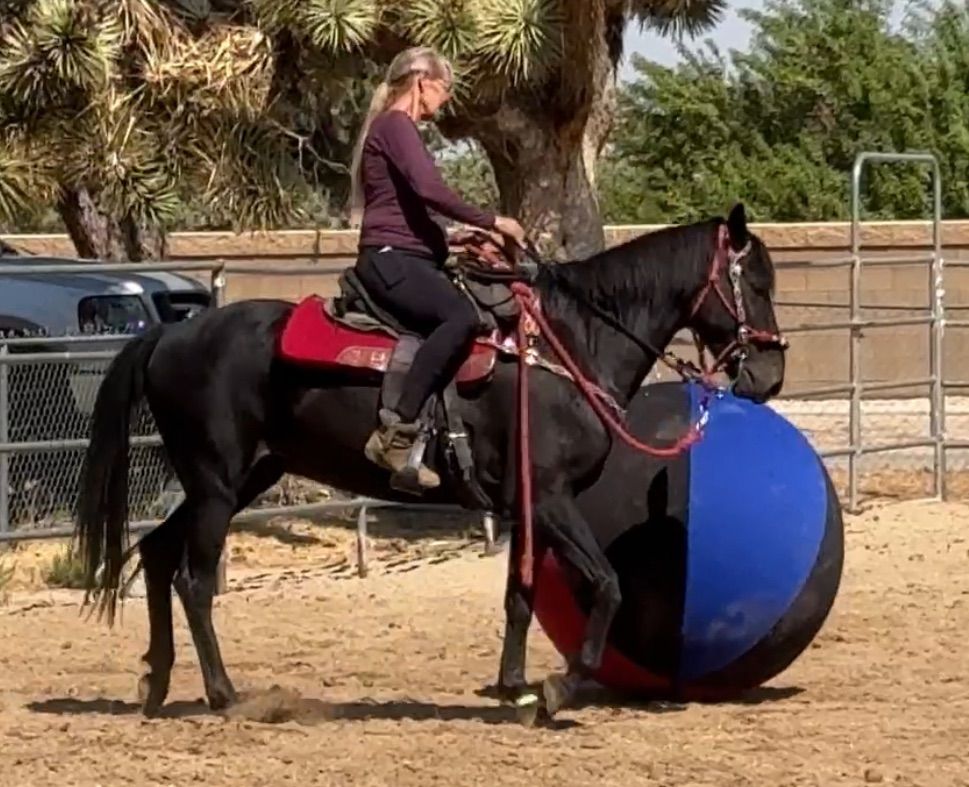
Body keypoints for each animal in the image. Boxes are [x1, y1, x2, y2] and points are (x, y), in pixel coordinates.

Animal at [73, 202, 788, 728]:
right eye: (755, 283)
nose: (769, 375)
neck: (568, 345)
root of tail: (170, 334)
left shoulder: (526, 507)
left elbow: (520, 597)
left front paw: (513, 685)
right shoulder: (552, 499)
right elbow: (608, 585)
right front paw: (560, 688)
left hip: (238, 479)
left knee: (156, 554)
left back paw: (157, 682)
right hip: (217, 485)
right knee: (193, 581)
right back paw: (224, 694)